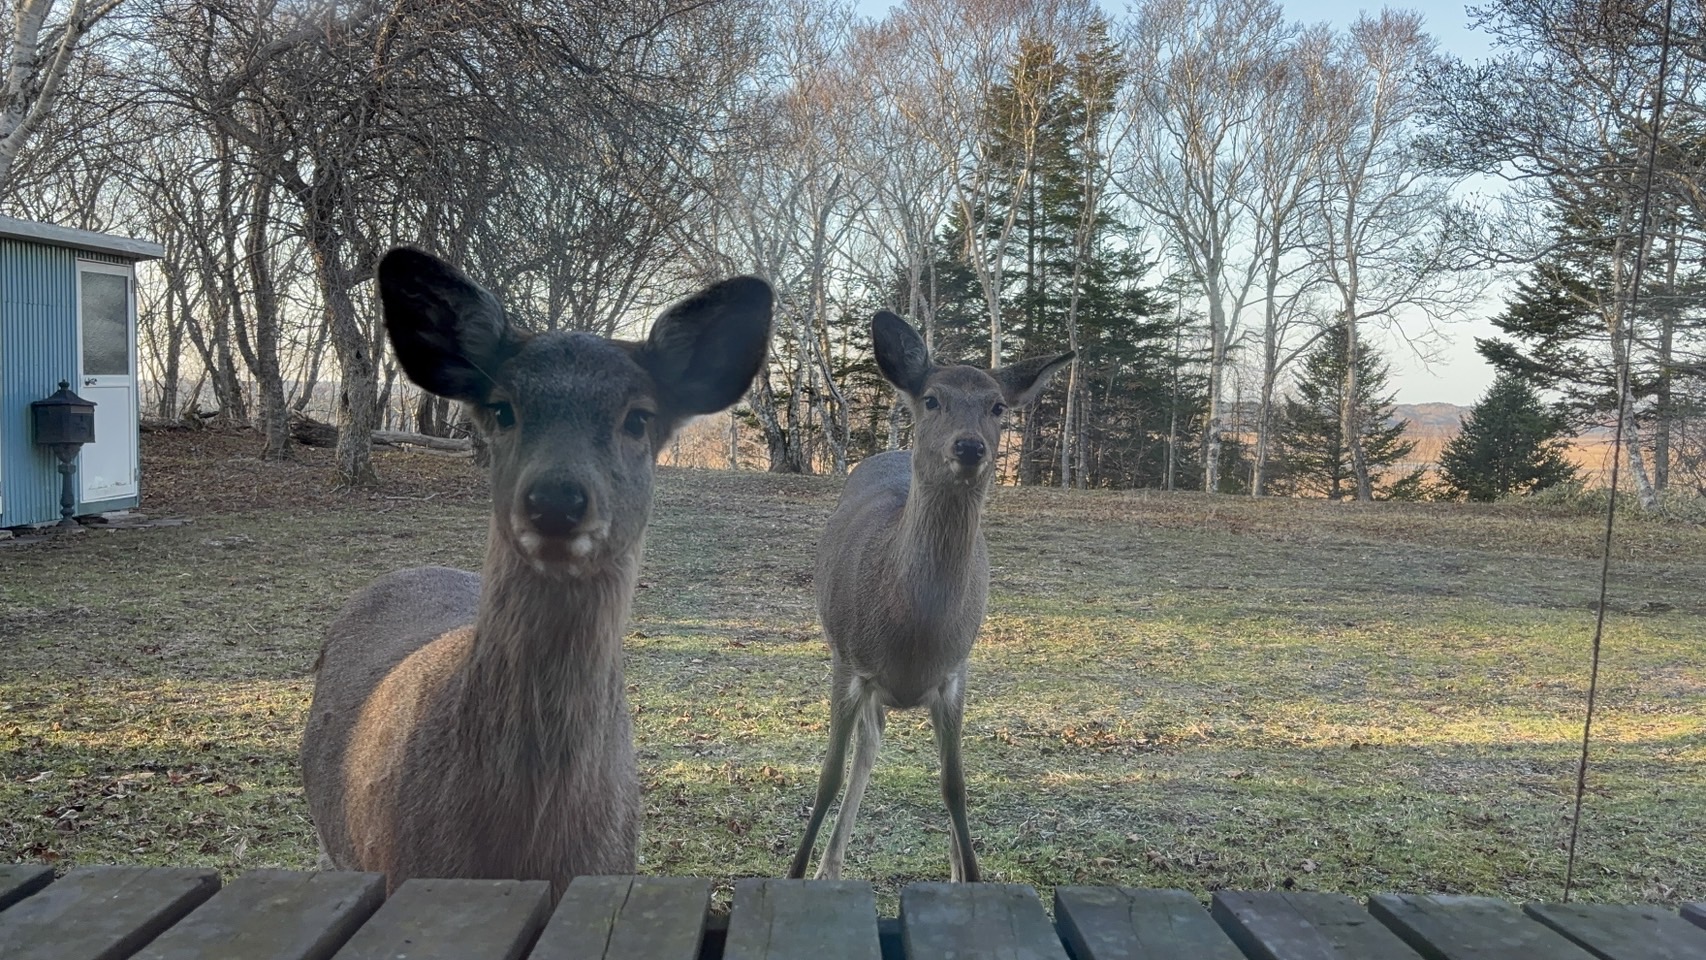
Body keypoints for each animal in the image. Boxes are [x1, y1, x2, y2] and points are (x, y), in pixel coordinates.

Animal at [787, 311, 1071, 882]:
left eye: (997, 406)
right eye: (933, 399)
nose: (969, 447)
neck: (912, 632)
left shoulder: (954, 674)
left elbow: (954, 786)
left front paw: (972, 874)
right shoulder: (848, 661)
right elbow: (828, 776)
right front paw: (794, 871)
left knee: (882, 746)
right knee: (868, 746)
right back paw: (829, 866)